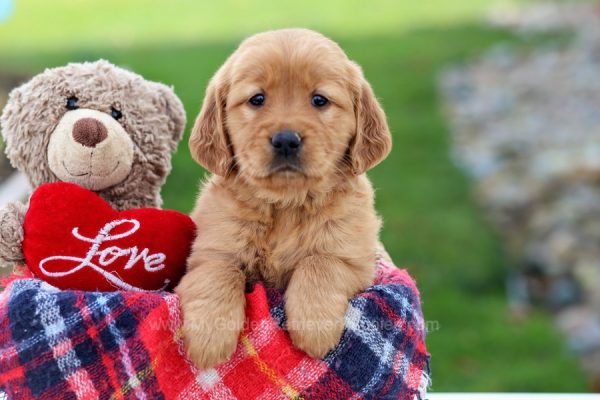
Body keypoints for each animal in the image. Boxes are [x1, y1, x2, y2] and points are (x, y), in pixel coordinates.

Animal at [176, 28, 392, 368]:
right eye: (257, 99)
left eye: (319, 100)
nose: (286, 140)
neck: (286, 205)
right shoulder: (210, 252)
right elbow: (219, 274)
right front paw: (209, 338)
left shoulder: (356, 259)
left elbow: (320, 262)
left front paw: (314, 328)